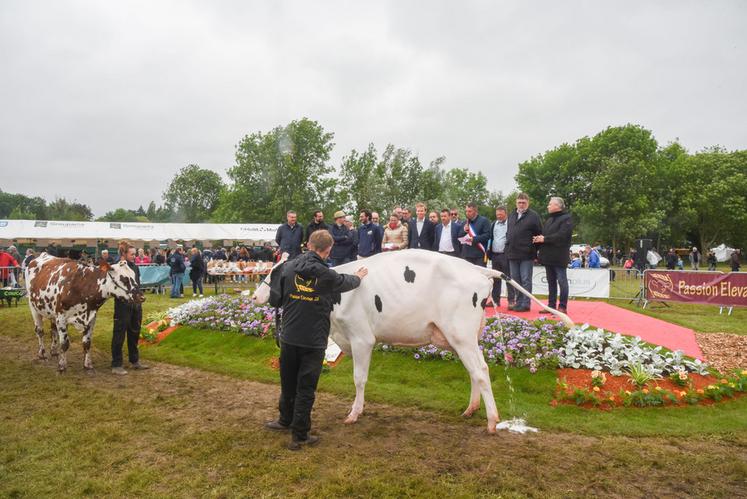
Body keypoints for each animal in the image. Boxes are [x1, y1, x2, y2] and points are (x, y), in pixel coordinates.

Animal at [254, 250, 576, 434]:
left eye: (275, 272)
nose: (255, 295)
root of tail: (477, 269)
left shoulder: (362, 338)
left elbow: (359, 378)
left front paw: (354, 414)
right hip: (465, 337)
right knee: (475, 370)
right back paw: (471, 410)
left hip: (461, 334)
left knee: (481, 371)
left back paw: (492, 422)